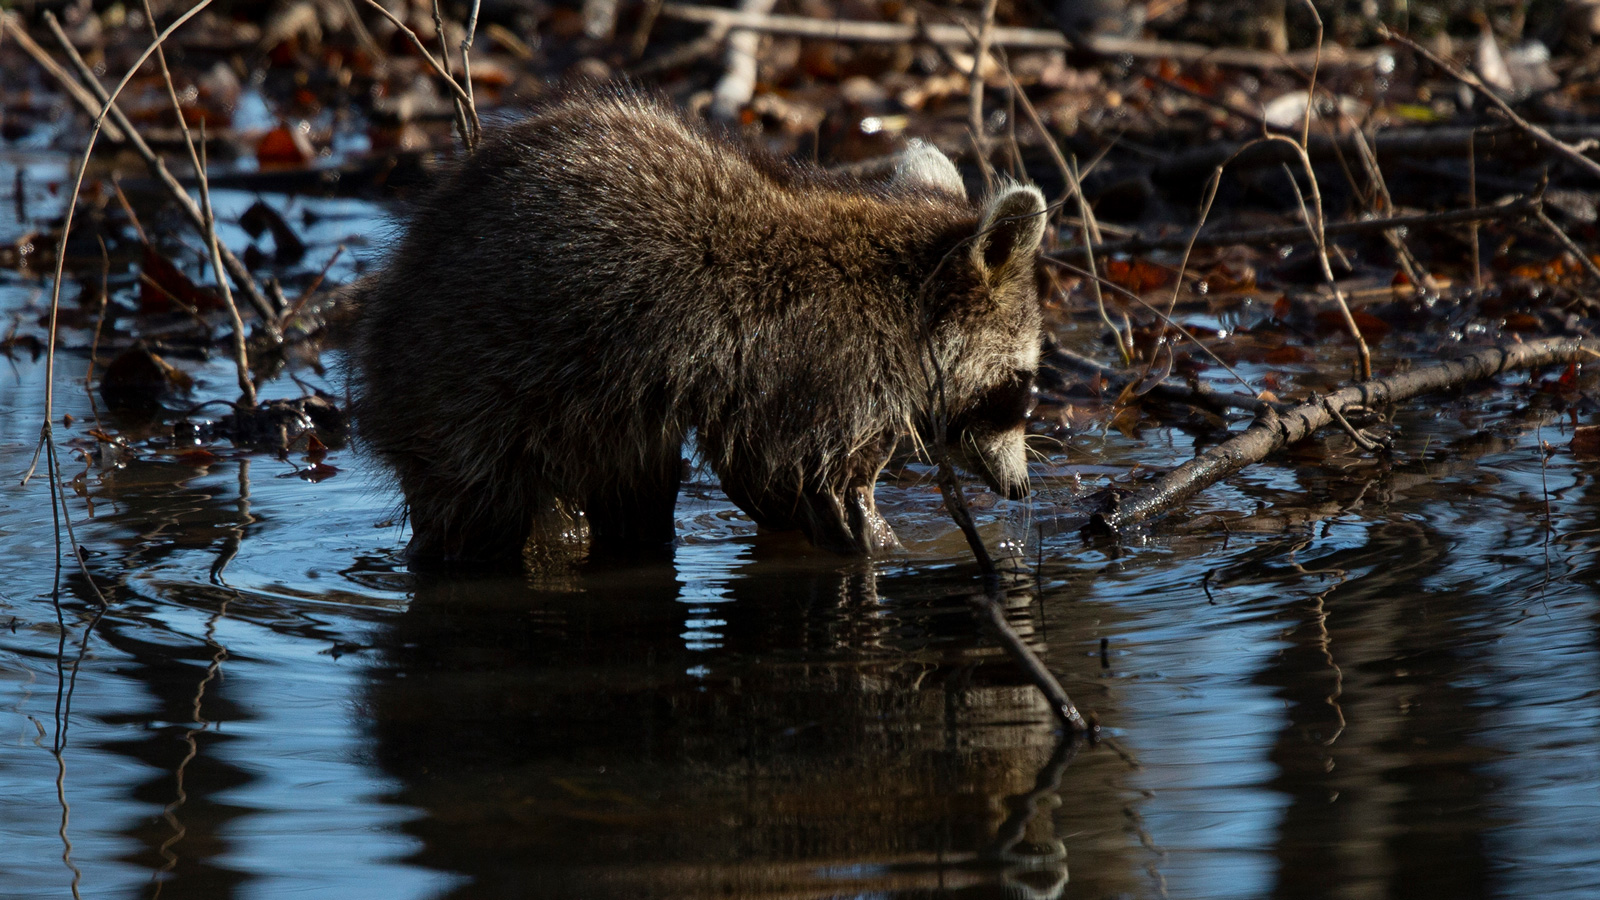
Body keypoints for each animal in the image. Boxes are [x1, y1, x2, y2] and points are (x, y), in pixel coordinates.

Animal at [351, 89, 1047, 564]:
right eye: (1025, 386)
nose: (1019, 490)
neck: (906, 294)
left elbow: (768, 484)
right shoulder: (827, 370)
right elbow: (814, 484)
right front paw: (882, 548)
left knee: (634, 484)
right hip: (470, 389)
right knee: (480, 510)